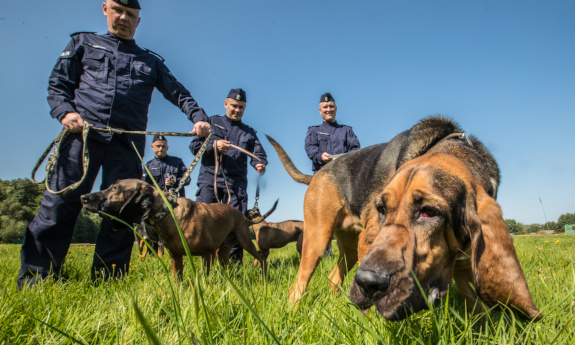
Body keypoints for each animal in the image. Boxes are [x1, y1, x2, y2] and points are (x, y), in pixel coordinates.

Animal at [268, 115, 544, 320]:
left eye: (430, 212)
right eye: (381, 208)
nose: (369, 283)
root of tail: (320, 171)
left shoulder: (465, 265)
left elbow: (479, 311)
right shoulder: (369, 241)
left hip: (348, 249)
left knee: (333, 278)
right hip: (318, 240)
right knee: (299, 283)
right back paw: (292, 311)